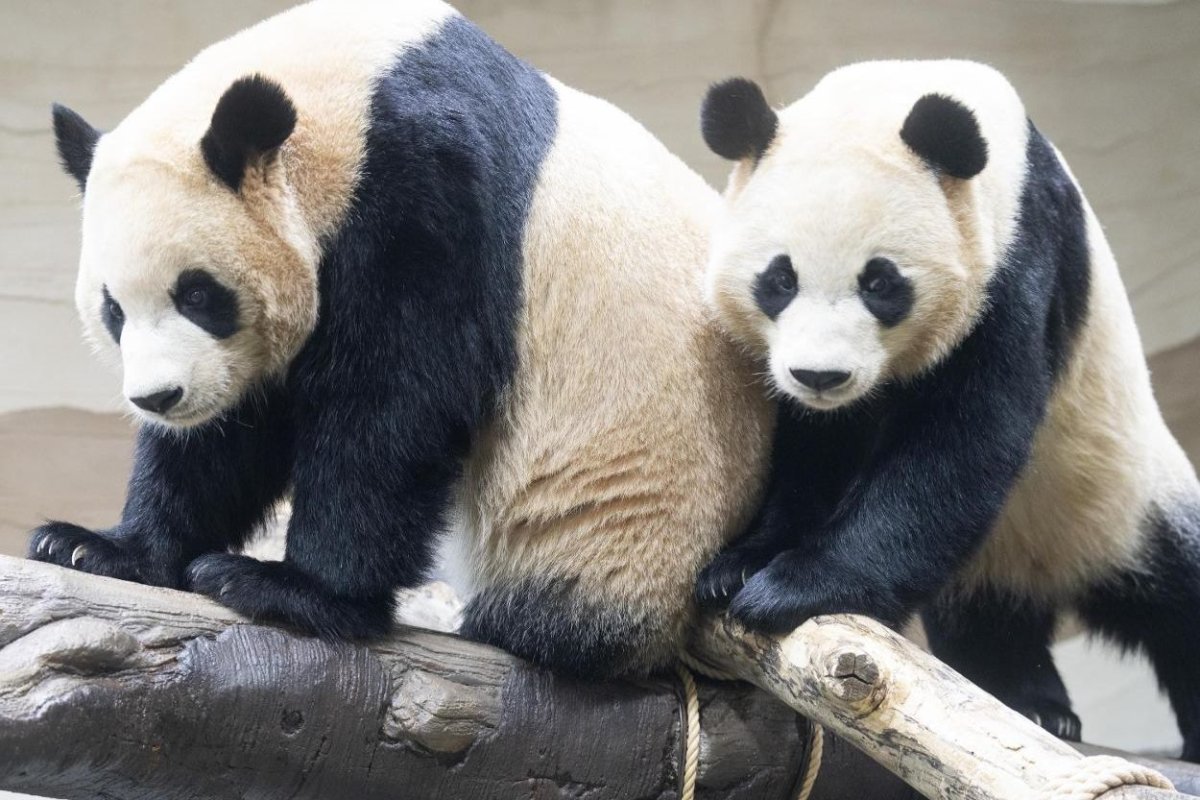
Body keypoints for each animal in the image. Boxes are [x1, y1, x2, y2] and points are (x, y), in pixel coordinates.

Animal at [30, 0, 773, 680]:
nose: (159, 398)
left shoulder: (429, 184)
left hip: (630, 511)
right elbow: (231, 434)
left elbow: (394, 399)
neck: (355, 86)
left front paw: (289, 587)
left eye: (198, 294)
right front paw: (96, 546)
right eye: (113, 311)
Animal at [694, 60, 1200, 760]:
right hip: (998, 562)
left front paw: (796, 587)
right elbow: (812, 454)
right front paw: (738, 566)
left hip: (1132, 488)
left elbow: (961, 443)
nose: (821, 376)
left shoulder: (1017, 262)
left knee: (1182, 596)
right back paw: (1036, 705)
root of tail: (1063, 572)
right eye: (780, 278)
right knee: (989, 622)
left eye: (880, 283)